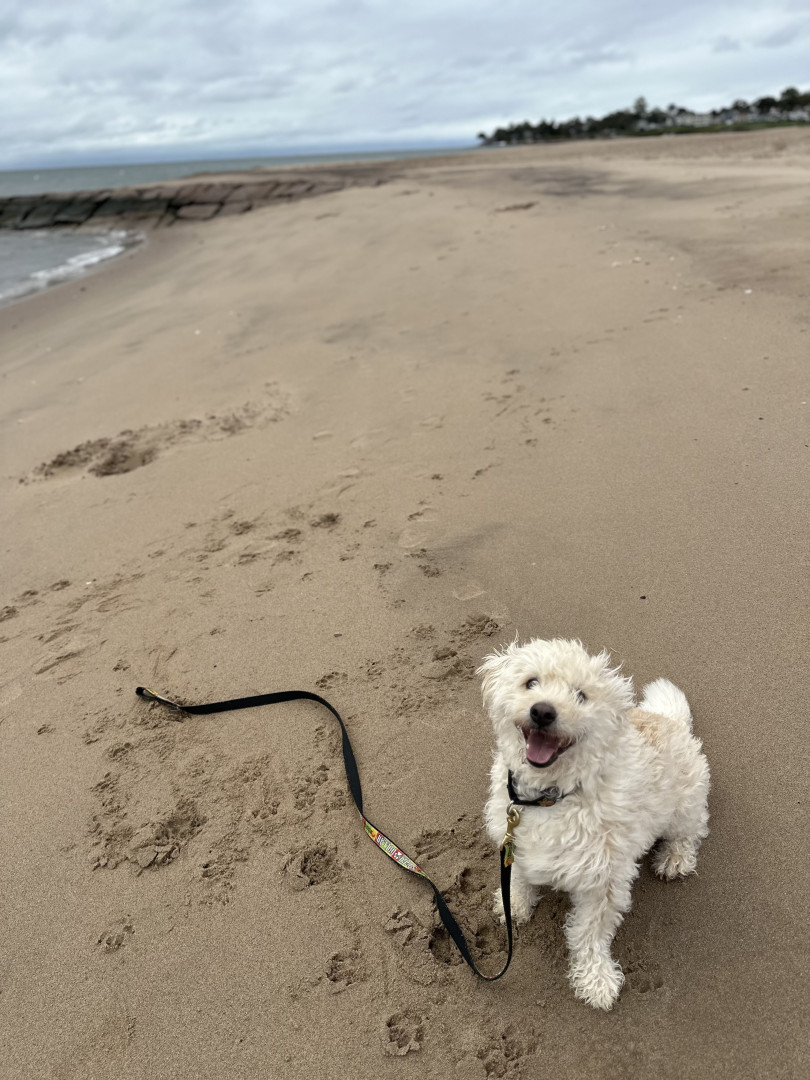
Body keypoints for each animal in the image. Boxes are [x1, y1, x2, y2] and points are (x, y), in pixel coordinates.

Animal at [480, 637, 710, 1010]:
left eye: (581, 695)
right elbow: (517, 875)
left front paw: (596, 980)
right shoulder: (512, 837)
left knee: (692, 831)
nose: (542, 711)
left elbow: (589, 933)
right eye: (531, 682)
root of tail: (667, 718)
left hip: (684, 806)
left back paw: (675, 858)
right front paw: (514, 903)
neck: (552, 796)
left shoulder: (604, 880)